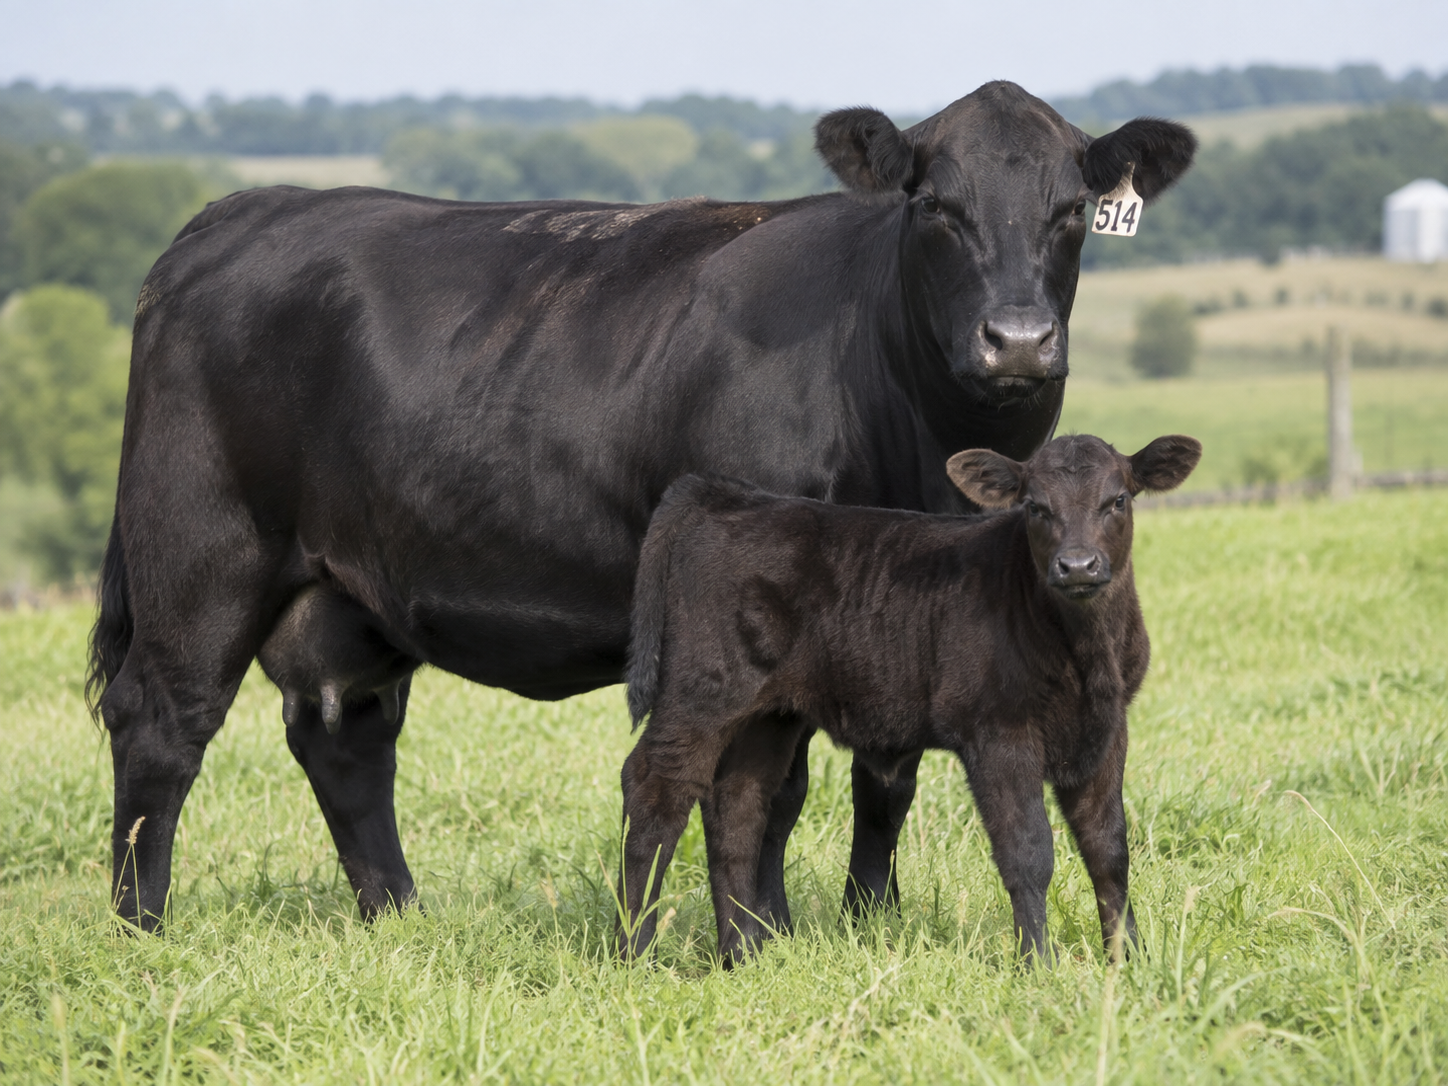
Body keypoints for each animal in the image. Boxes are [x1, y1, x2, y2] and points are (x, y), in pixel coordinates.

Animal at [617, 434, 1202, 965]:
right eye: (1035, 506)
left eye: (1118, 500)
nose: (1077, 565)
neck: (1082, 653)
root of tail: (727, 496)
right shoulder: (998, 732)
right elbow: (1028, 851)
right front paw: (1037, 962)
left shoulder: (1107, 729)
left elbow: (1109, 850)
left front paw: (1129, 960)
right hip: (701, 689)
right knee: (655, 787)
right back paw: (635, 952)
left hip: (767, 715)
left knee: (737, 806)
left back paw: (742, 954)